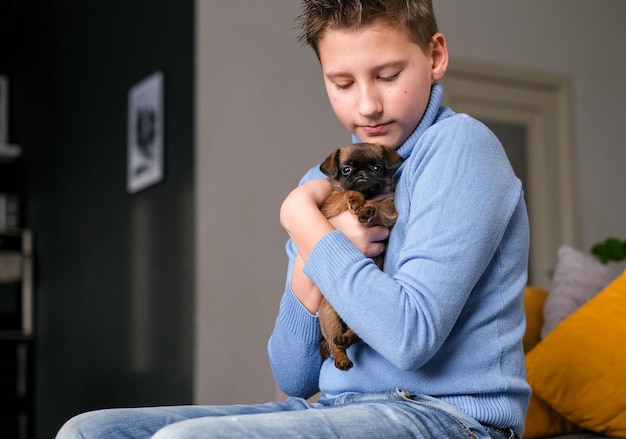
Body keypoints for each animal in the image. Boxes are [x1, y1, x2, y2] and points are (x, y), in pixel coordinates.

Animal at [316, 143, 400, 370]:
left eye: (377, 168)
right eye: (347, 170)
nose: (362, 173)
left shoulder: (389, 210)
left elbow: (380, 208)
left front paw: (367, 211)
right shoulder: (330, 205)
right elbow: (347, 193)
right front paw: (355, 199)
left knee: (356, 335)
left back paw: (347, 339)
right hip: (328, 314)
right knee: (334, 344)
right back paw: (342, 358)